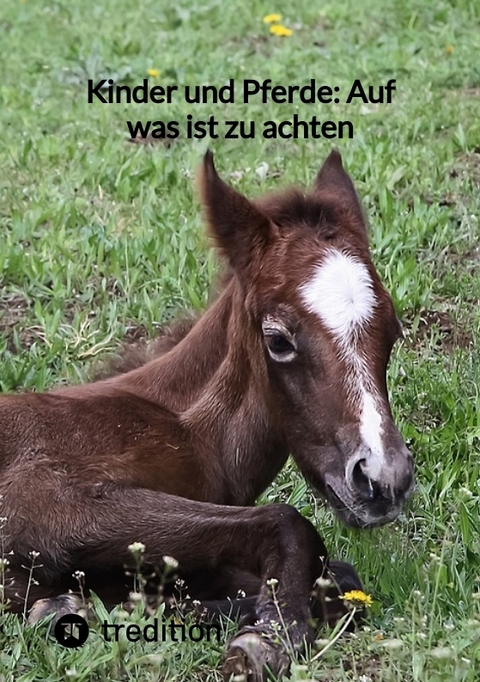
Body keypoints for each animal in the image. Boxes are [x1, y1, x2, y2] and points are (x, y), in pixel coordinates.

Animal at [0, 150, 414, 680]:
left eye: (393, 330)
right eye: (278, 340)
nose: (384, 479)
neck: (183, 427)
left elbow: (340, 578)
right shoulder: (40, 503)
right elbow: (286, 521)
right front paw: (268, 637)